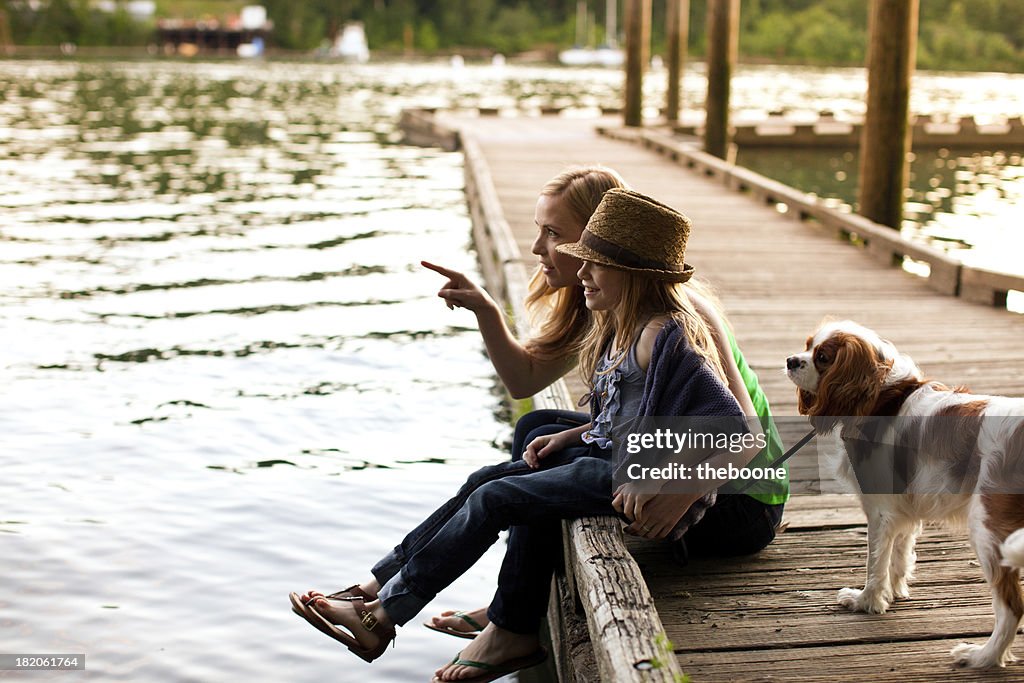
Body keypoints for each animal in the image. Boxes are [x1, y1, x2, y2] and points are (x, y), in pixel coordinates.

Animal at [786, 319, 1019, 667]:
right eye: (807, 345)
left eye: (823, 357)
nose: (790, 361)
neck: (883, 397)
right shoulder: (903, 506)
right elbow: (899, 554)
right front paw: (893, 593)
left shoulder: (880, 511)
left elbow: (875, 562)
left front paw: (866, 601)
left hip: (988, 532)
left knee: (1010, 608)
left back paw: (982, 656)